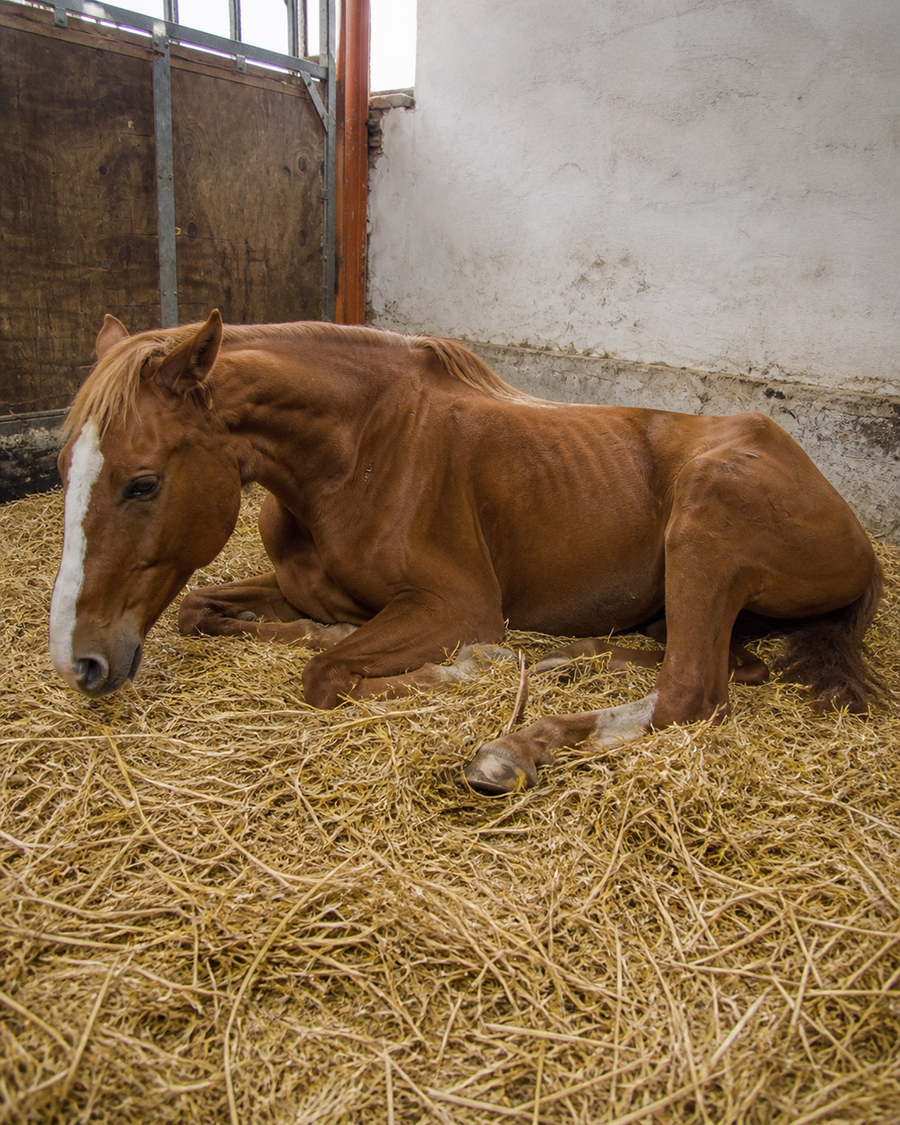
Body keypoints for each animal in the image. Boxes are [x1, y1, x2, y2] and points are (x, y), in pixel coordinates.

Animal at [49, 311, 883, 794]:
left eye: (143, 481)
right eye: (64, 468)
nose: (79, 660)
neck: (356, 453)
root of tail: (855, 530)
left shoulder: (458, 607)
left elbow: (328, 674)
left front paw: (463, 669)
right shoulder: (300, 586)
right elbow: (207, 609)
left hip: (704, 532)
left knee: (689, 693)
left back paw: (510, 747)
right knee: (719, 666)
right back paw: (564, 663)